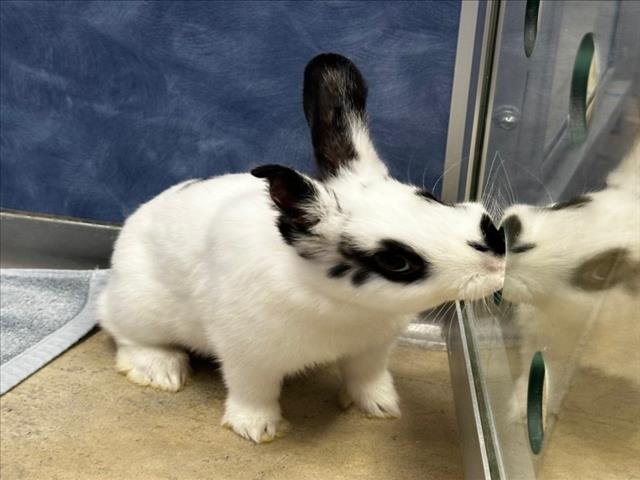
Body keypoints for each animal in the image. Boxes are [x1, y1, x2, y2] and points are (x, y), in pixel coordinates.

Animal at [98, 53, 506, 443]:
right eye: (395, 261)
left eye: (428, 197)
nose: (498, 256)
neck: (349, 309)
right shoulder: (248, 355)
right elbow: (253, 391)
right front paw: (258, 429)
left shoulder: (372, 348)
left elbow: (367, 376)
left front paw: (382, 407)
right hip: (141, 308)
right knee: (120, 330)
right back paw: (162, 370)